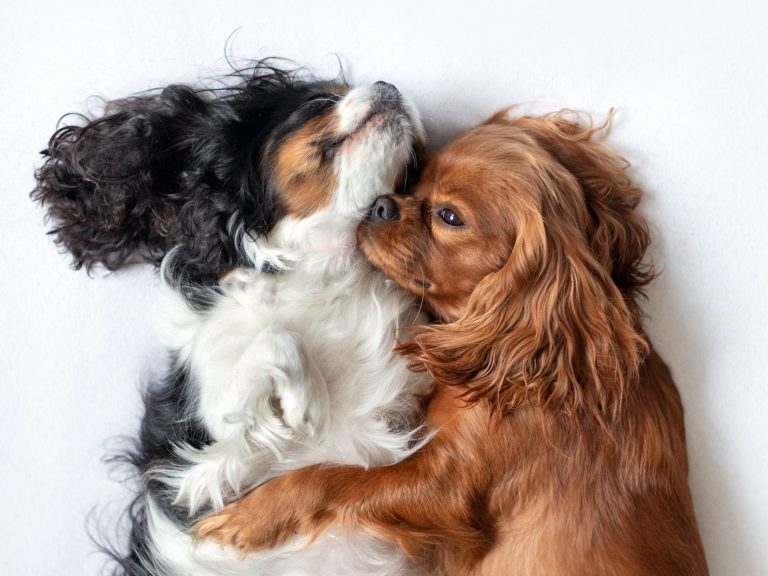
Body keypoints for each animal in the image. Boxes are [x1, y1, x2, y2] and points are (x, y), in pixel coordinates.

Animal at [33, 61, 430, 575]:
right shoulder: (208, 461)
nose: (391, 86)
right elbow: (276, 339)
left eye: (413, 167)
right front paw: (307, 404)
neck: (325, 270)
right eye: (319, 102)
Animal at [195, 109, 710, 576]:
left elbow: (337, 478)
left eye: (448, 216)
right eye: (417, 177)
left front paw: (252, 514)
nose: (381, 203)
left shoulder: (446, 491)